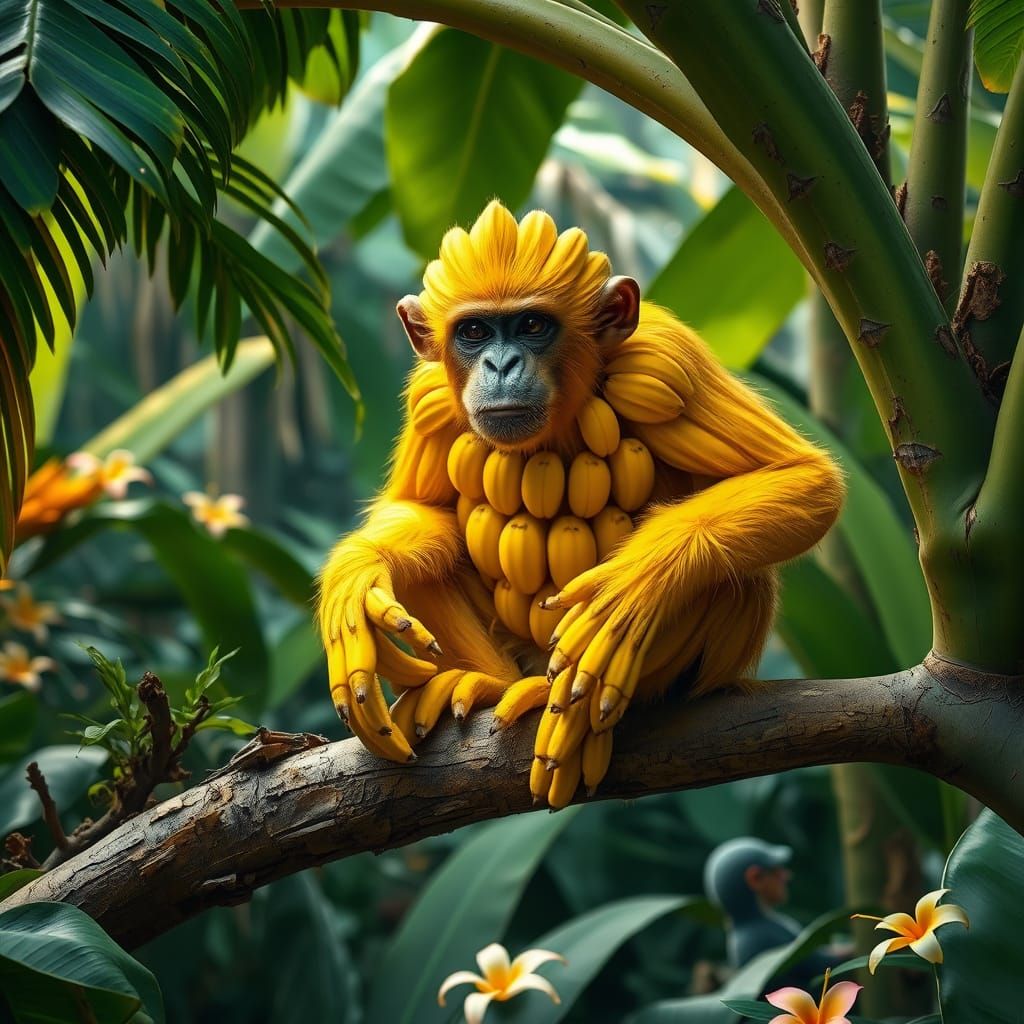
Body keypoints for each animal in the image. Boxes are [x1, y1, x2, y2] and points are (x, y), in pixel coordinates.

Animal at [317, 200, 844, 808]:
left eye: (532, 325)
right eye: (473, 331)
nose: (500, 365)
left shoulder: (666, 360)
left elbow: (807, 478)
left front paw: (629, 593)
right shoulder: (430, 394)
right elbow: (421, 513)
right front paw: (354, 575)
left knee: (735, 575)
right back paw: (491, 683)